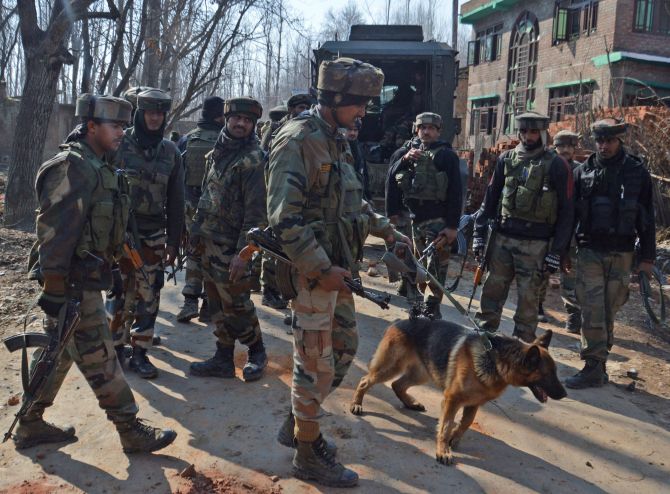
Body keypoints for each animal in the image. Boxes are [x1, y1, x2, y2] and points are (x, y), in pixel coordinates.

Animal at [352, 318, 568, 466]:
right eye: (548, 375)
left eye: (556, 372)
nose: (565, 394)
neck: (495, 359)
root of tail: (399, 321)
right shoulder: (452, 399)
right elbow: (446, 425)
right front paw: (443, 450)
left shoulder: (473, 403)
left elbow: (466, 422)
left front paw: (454, 438)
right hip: (390, 368)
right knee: (365, 381)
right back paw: (357, 404)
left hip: (422, 374)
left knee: (398, 385)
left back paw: (410, 403)